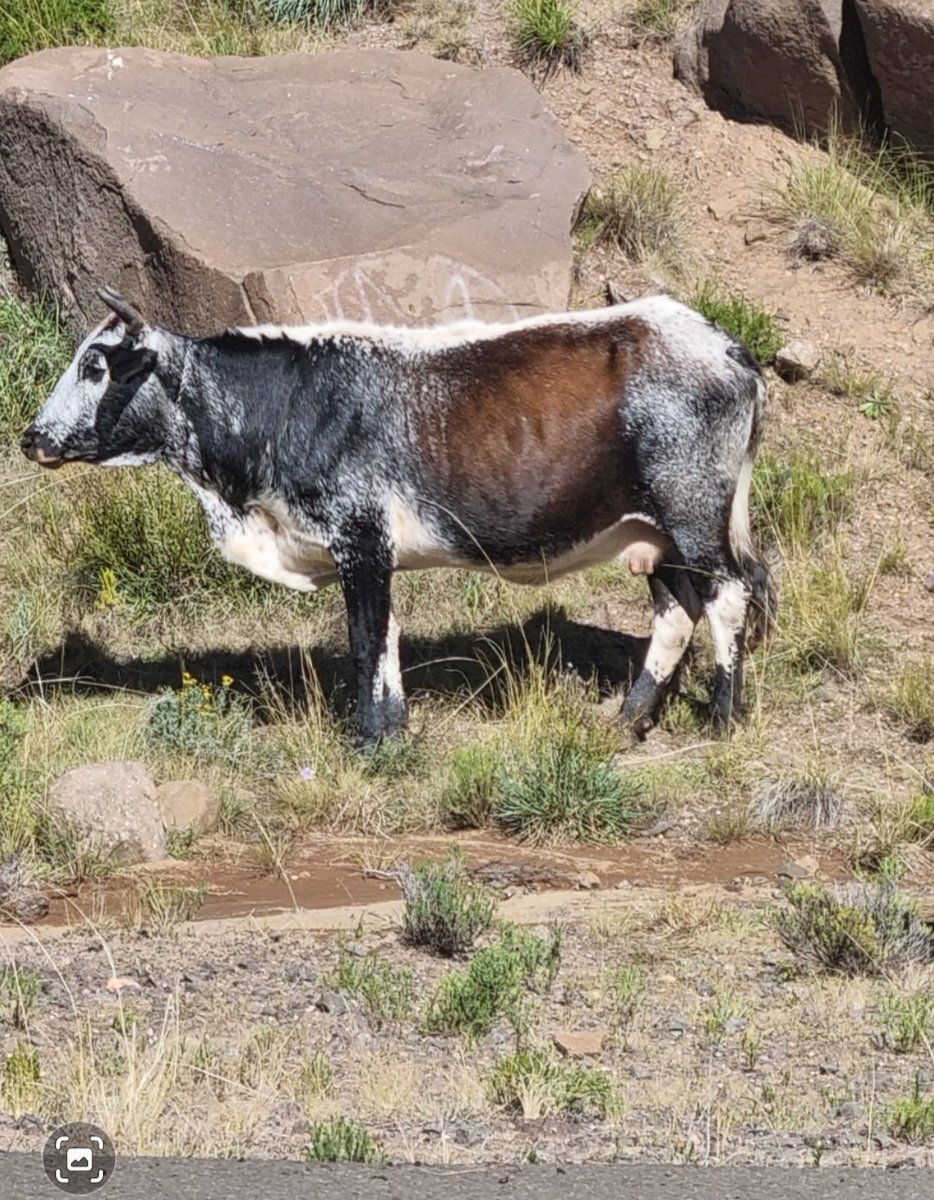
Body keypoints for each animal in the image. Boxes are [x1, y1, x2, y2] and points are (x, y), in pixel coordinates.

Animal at [21, 287, 774, 747]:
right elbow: (384, 637)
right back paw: (628, 717)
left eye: (95, 365)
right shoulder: (369, 552)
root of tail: (719, 340)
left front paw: (372, 738)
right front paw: (389, 728)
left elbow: (365, 638)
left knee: (729, 595)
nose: (31, 437)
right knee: (676, 610)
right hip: (655, 533)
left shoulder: (360, 539)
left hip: (693, 514)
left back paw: (723, 718)